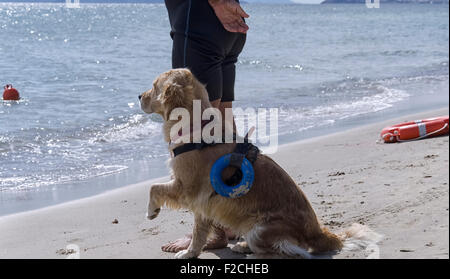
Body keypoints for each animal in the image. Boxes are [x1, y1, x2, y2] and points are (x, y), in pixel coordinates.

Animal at [140, 68, 344, 260]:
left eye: (154, 86)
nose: (139, 96)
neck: (196, 125)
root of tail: (317, 232)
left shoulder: (187, 189)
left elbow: (154, 187)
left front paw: (151, 210)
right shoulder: (203, 202)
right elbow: (199, 232)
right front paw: (191, 252)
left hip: (258, 229)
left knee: (288, 252)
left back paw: (253, 253)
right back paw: (243, 246)